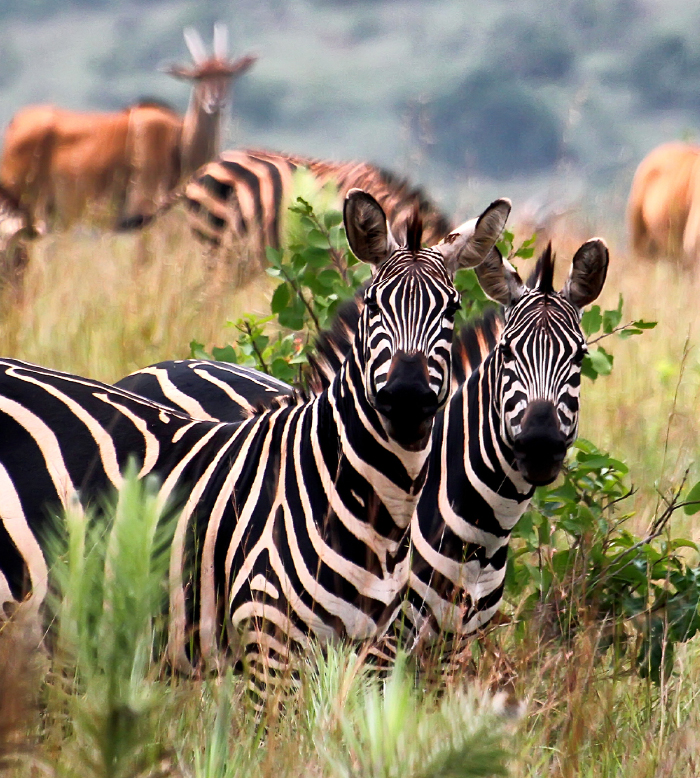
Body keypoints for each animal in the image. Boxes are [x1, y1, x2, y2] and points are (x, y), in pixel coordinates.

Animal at [0, 25, 258, 235]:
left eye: (228, 74)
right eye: (197, 77)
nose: (216, 102)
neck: (178, 139)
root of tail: (15, 122)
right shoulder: (143, 210)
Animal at [116, 238, 608, 660]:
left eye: (580, 358)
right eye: (507, 352)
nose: (540, 444)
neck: (481, 532)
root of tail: (152, 368)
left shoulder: (450, 649)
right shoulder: (381, 640)